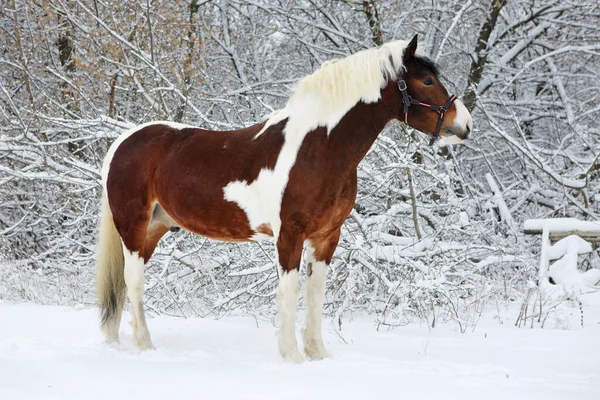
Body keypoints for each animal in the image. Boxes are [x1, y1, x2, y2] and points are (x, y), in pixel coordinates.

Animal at [96, 35, 474, 362]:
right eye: (426, 80)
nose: (465, 125)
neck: (317, 148)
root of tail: (123, 143)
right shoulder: (289, 235)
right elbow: (289, 294)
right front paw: (292, 356)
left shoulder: (326, 237)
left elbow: (316, 294)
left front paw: (317, 354)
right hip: (133, 228)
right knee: (133, 282)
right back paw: (144, 345)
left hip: (154, 229)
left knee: (124, 285)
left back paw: (116, 341)